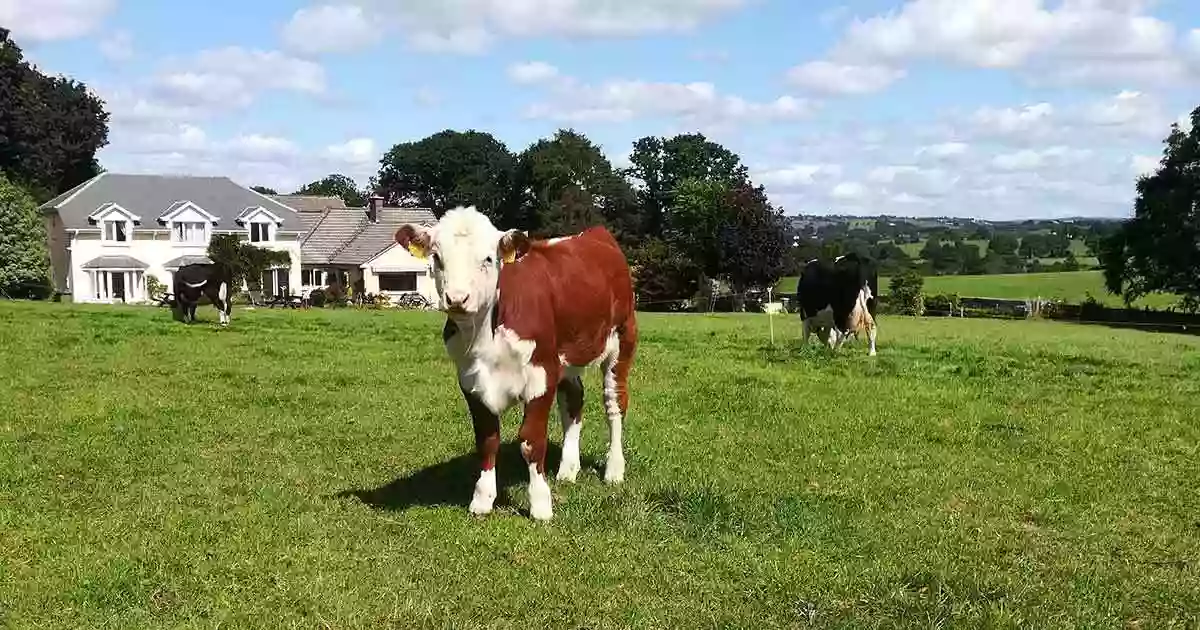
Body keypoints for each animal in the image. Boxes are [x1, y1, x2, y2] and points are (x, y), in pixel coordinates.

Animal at [393, 206, 638, 520]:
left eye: (488, 258)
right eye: (436, 257)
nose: (457, 298)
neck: (485, 334)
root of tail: (596, 233)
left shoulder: (541, 374)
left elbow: (531, 441)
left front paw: (540, 504)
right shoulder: (470, 380)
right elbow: (486, 440)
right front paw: (482, 500)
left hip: (623, 340)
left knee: (614, 404)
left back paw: (614, 470)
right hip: (566, 359)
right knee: (573, 401)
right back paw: (568, 469)